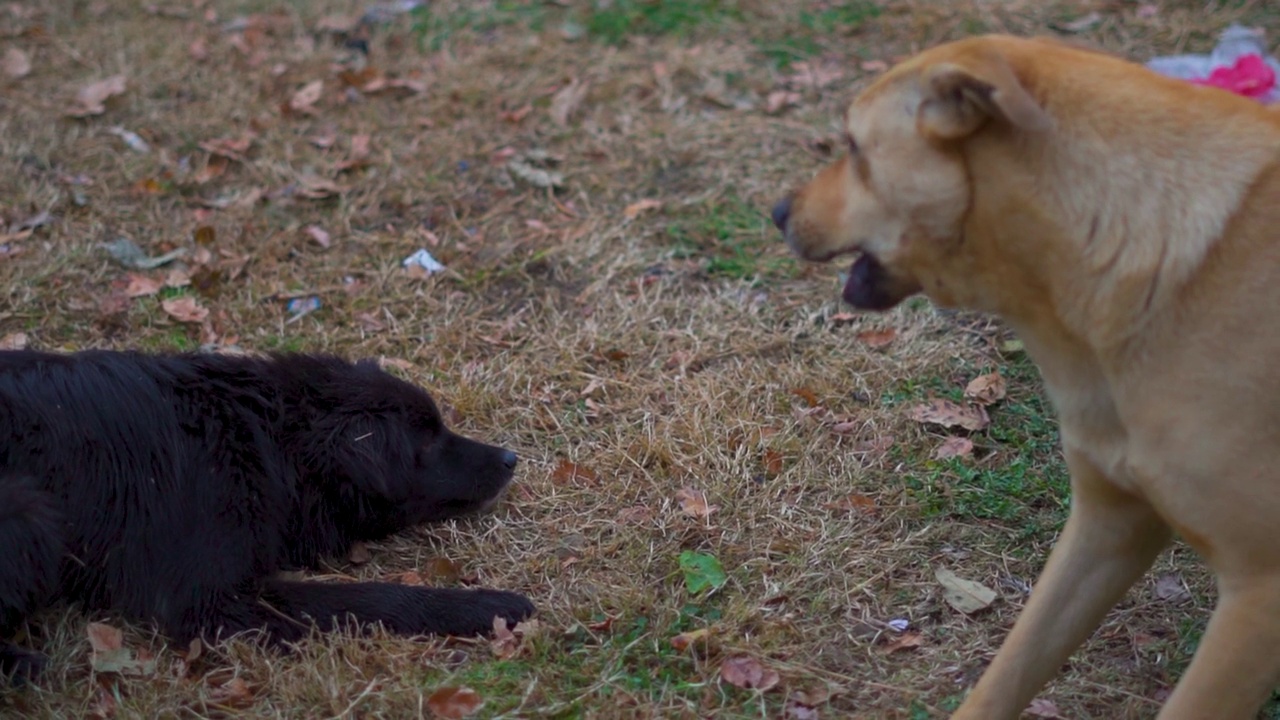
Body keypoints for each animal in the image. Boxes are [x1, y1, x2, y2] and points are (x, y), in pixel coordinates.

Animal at [0, 351, 537, 681]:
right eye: (426, 440)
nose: (511, 459)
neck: (265, 440)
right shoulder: (213, 602)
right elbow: (373, 598)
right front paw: (487, 605)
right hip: (30, 510)